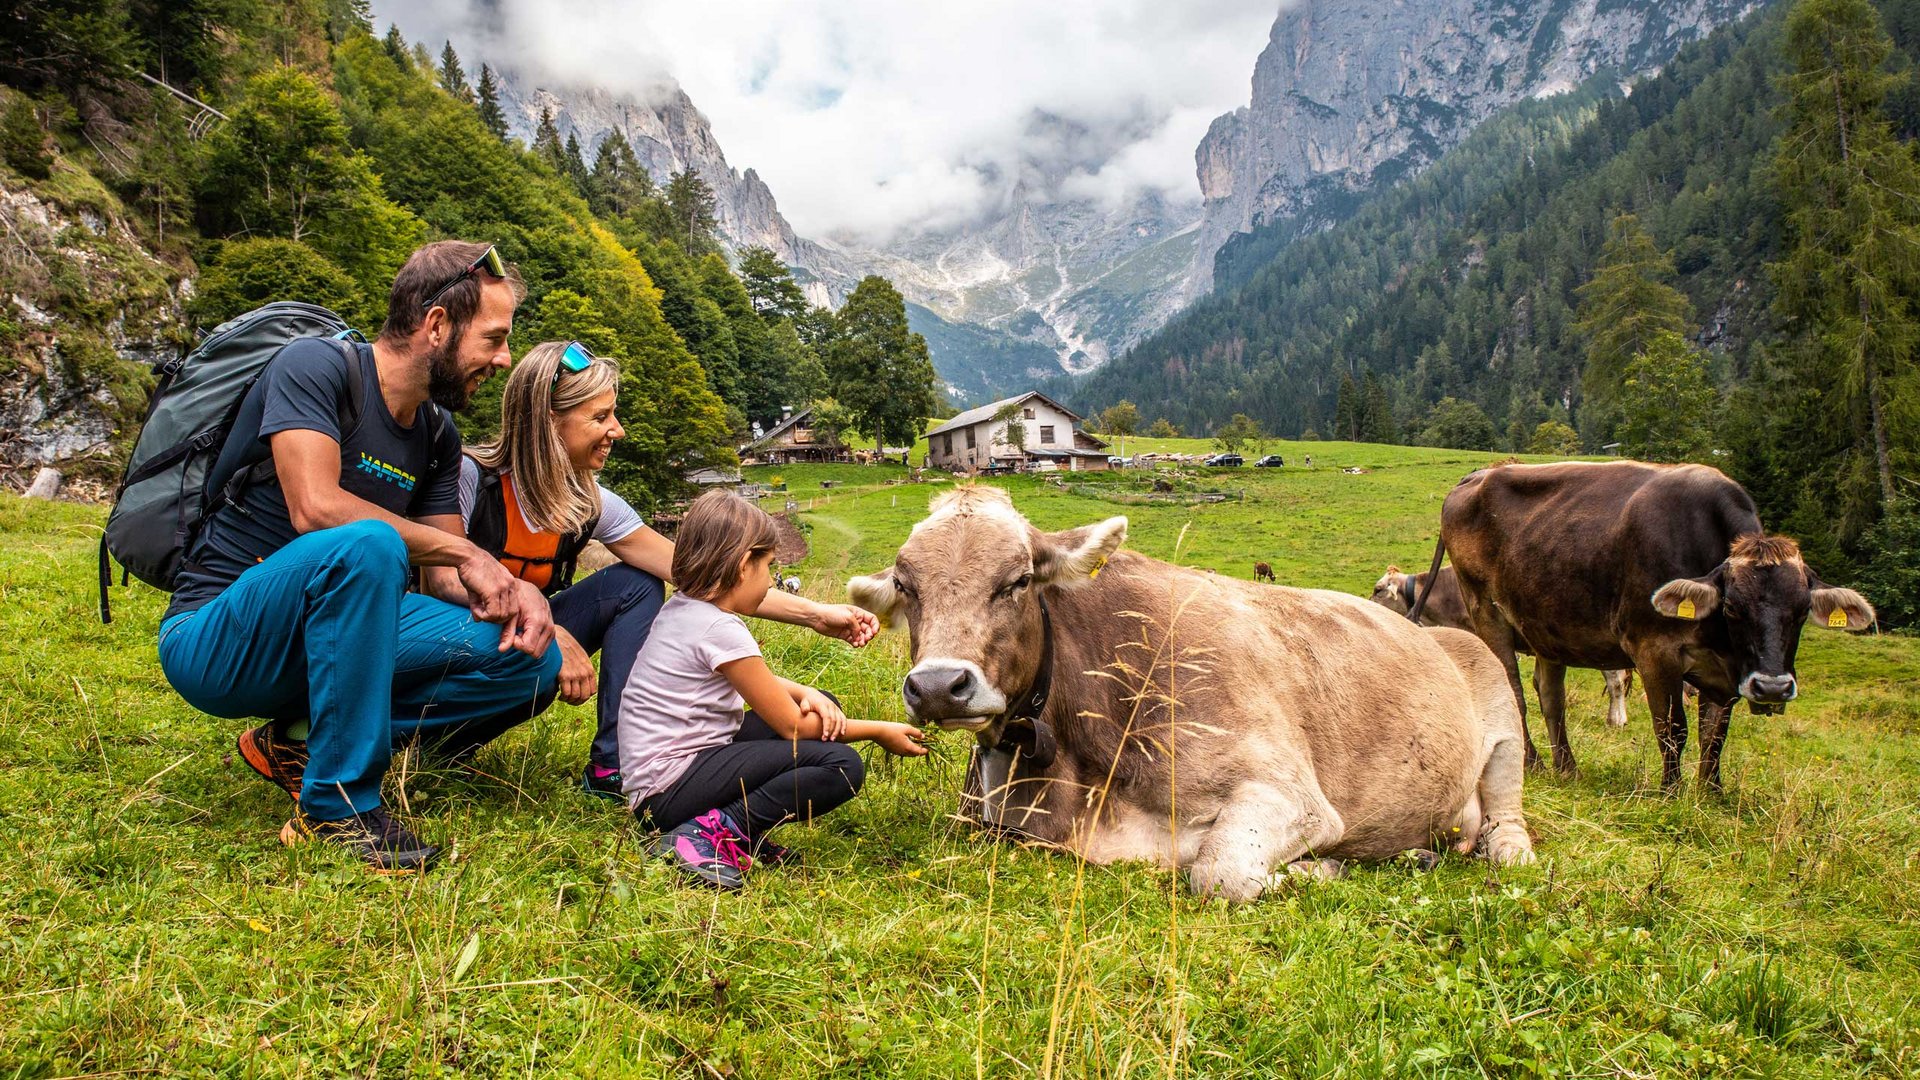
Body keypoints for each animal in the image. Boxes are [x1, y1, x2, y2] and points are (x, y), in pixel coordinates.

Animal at [848, 484, 1536, 895]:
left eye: (1017, 580)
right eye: (906, 586)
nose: (939, 686)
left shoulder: (1291, 793)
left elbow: (1218, 873)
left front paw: (1322, 867)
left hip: (1502, 713)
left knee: (1507, 818)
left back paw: (1495, 851)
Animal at [1436, 457, 1866, 787]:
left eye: (1801, 611)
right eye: (1732, 607)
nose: (1773, 688)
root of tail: (1478, 475)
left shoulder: (1729, 670)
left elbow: (1715, 734)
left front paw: (1711, 793)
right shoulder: (1654, 650)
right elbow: (1673, 728)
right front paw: (1671, 791)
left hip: (1547, 626)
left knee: (1551, 697)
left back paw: (1566, 768)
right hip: (1486, 612)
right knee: (1513, 691)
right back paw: (1532, 763)